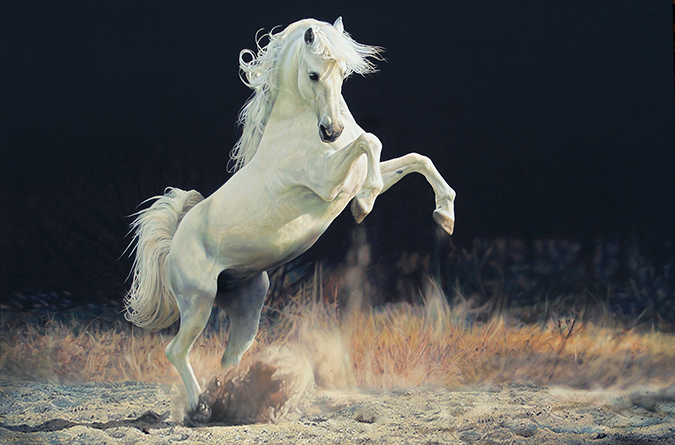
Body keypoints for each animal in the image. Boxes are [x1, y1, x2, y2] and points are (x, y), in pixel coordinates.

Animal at [125, 17, 456, 414]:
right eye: (313, 74)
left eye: (343, 73)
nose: (332, 132)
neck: (298, 130)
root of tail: (175, 241)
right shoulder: (328, 181)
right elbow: (370, 142)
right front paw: (365, 205)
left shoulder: (351, 176)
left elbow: (415, 159)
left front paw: (445, 215)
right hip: (197, 303)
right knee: (175, 350)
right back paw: (198, 407)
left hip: (247, 305)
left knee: (230, 356)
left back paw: (235, 400)